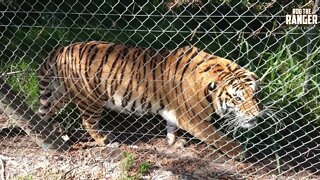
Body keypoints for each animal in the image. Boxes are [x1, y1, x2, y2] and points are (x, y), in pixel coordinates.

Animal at [38, 40, 262, 159]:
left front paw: (173, 141)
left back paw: (50, 131)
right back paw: (105, 140)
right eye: (238, 98)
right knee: (88, 123)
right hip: (90, 99)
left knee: (46, 111)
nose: (257, 116)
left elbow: (171, 126)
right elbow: (217, 137)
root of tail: (61, 49)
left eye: (255, 94)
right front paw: (238, 152)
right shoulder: (192, 118)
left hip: (60, 92)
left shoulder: (175, 112)